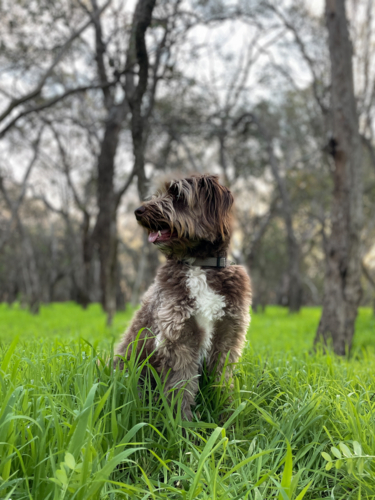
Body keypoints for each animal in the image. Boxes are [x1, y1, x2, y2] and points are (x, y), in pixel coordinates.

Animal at [117, 174, 253, 420]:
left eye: (177, 194)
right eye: (159, 193)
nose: (138, 211)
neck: (200, 264)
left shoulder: (228, 333)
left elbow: (221, 380)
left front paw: (226, 415)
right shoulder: (179, 335)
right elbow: (182, 386)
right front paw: (183, 425)